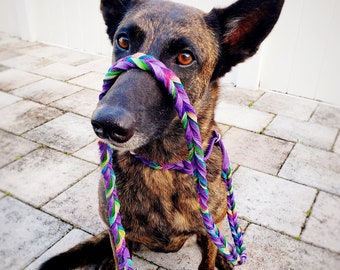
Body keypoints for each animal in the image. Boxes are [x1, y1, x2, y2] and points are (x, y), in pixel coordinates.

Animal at [39, 0, 284, 270]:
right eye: (123, 41)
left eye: (185, 57)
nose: (105, 124)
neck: (162, 164)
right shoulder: (118, 231)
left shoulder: (210, 228)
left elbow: (208, 255)